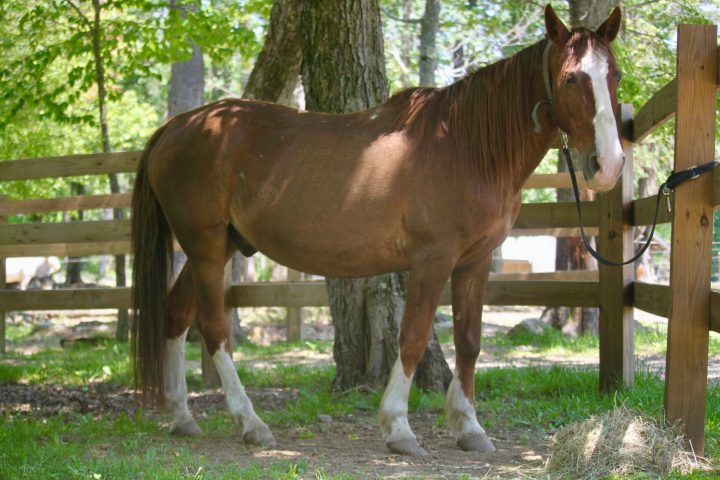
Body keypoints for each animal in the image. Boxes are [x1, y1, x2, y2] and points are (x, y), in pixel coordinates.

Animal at [131, 5, 624, 456]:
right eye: (571, 79)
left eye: (615, 75)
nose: (608, 165)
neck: (464, 147)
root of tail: (177, 126)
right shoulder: (432, 261)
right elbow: (413, 338)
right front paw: (399, 429)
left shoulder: (476, 261)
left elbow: (469, 341)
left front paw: (469, 428)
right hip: (206, 244)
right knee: (213, 328)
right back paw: (250, 423)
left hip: (218, 245)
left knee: (176, 314)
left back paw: (182, 417)